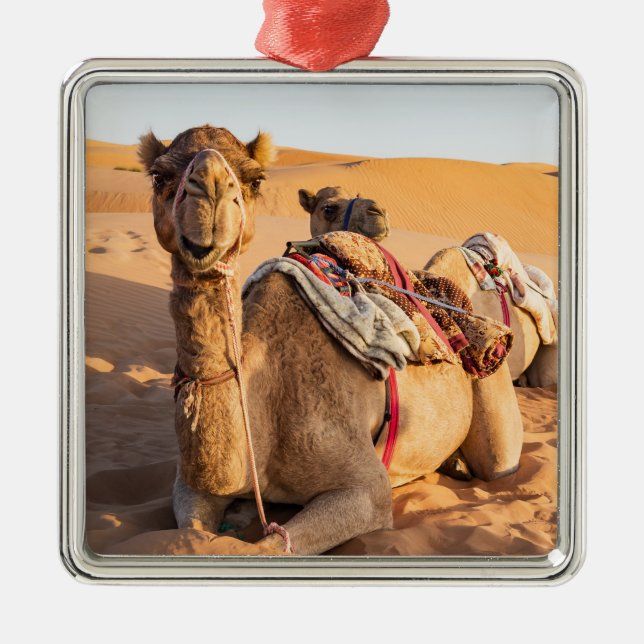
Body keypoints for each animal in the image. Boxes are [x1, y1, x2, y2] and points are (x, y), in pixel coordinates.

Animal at [138, 125, 523, 555]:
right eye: (159, 176)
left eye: (255, 179)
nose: (210, 191)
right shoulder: (190, 486)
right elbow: (193, 533)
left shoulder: (367, 489)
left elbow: (264, 547)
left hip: (493, 402)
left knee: (498, 460)